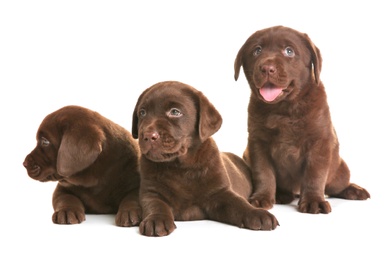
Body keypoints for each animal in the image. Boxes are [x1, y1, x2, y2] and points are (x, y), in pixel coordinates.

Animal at [132, 80, 278, 236]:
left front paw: (258, 214)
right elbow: (155, 205)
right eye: (142, 113)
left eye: (175, 112)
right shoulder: (151, 192)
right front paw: (156, 219)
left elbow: (239, 204)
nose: (148, 136)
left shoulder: (220, 193)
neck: (180, 166)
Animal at [233, 25, 370, 213]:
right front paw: (261, 198)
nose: (267, 68)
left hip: (339, 170)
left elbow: (314, 174)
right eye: (257, 50)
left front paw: (314, 201)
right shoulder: (257, 142)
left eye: (289, 51)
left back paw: (354, 190)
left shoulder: (319, 142)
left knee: (336, 185)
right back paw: (282, 195)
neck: (283, 109)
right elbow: (263, 172)